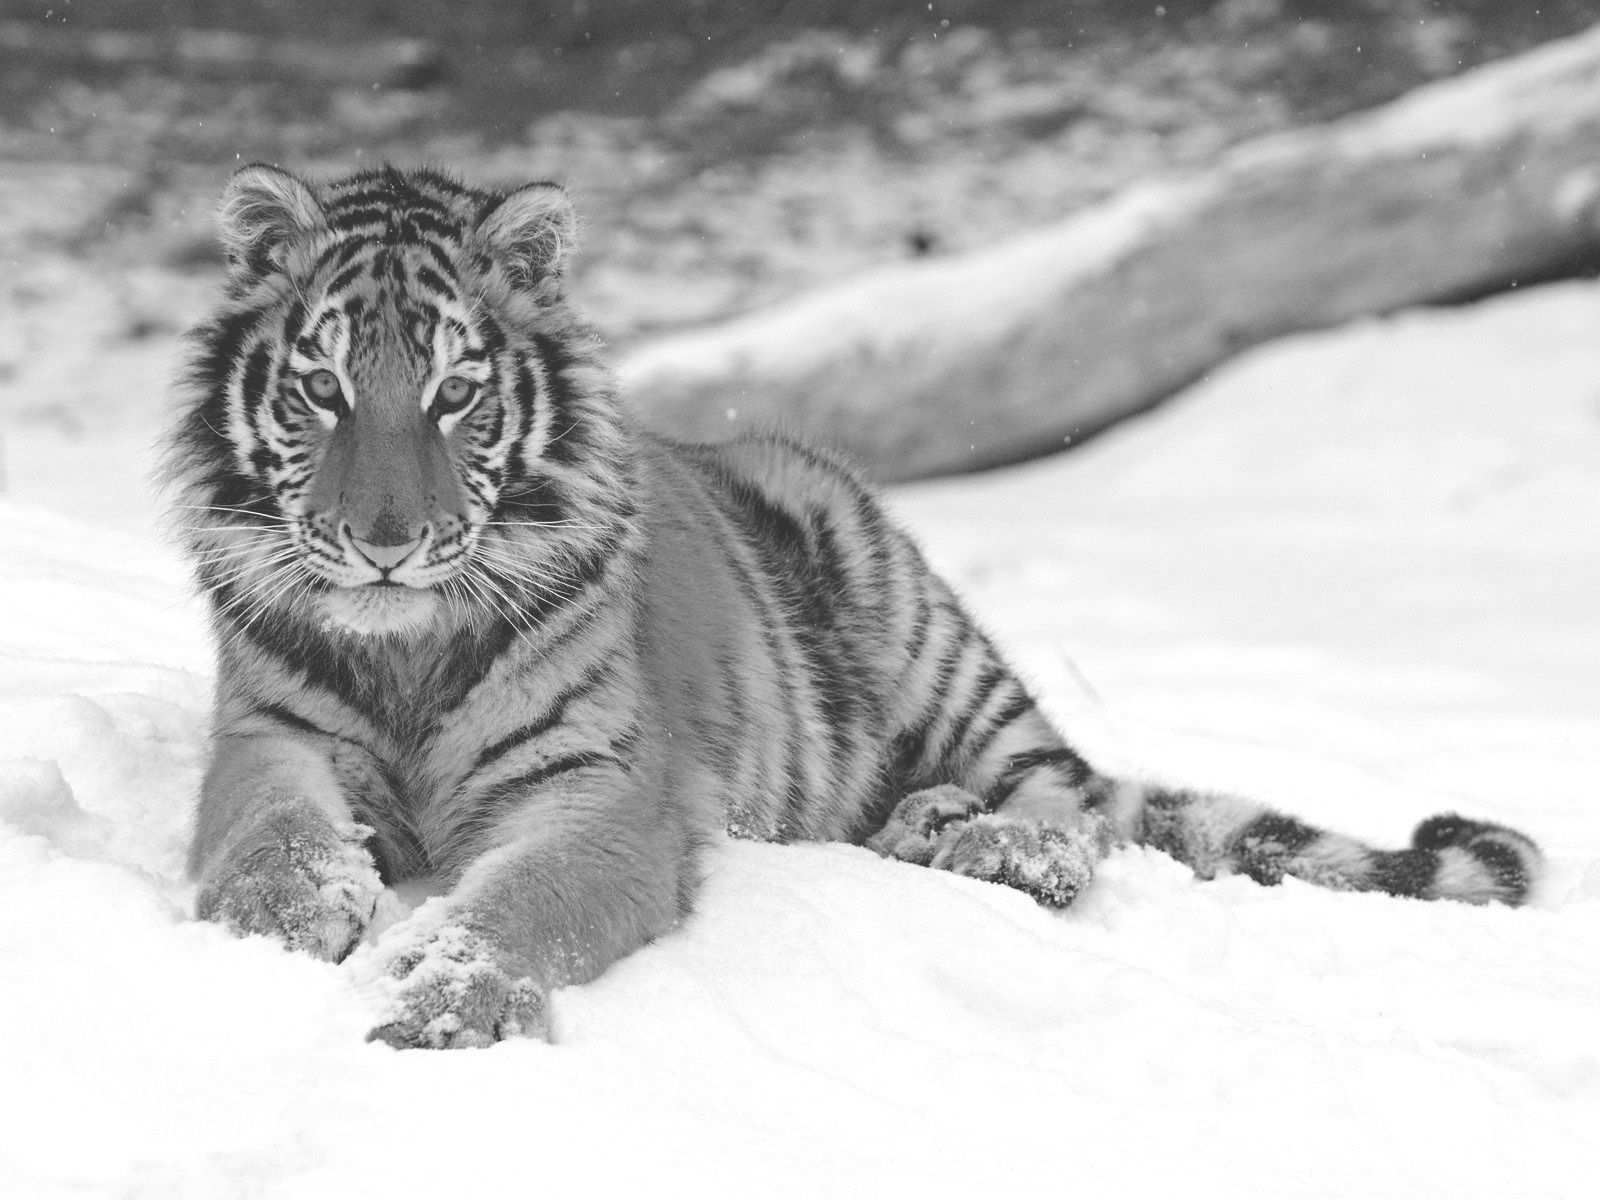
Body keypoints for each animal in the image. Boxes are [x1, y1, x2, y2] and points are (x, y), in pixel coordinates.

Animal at [162, 167, 1536, 1049]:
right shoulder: (267, 735)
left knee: (1073, 801)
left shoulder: (602, 791)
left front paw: (442, 999)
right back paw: (927, 825)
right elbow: (268, 833)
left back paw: (991, 842)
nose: (385, 545)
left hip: (914, 616)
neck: (407, 648)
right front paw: (288, 919)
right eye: (324, 390)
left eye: (455, 394)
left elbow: (520, 904)